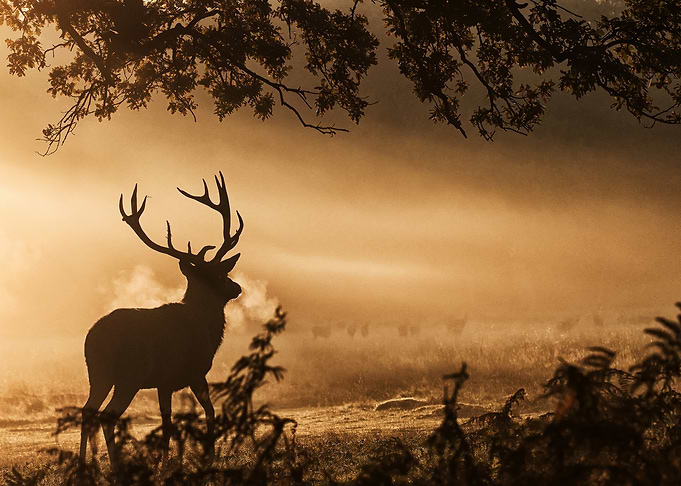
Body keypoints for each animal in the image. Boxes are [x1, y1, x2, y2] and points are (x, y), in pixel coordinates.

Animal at [79, 173, 244, 471]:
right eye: (220, 274)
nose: (236, 287)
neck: (207, 328)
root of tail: (92, 338)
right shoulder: (188, 372)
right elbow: (203, 412)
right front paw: (203, 457)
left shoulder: (168, 381)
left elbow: (172, 419)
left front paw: (166, 461)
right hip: (128, 376)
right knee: (107, 415)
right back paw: (116, 466)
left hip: (97, 374)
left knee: (87, 411)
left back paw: (83, 464)